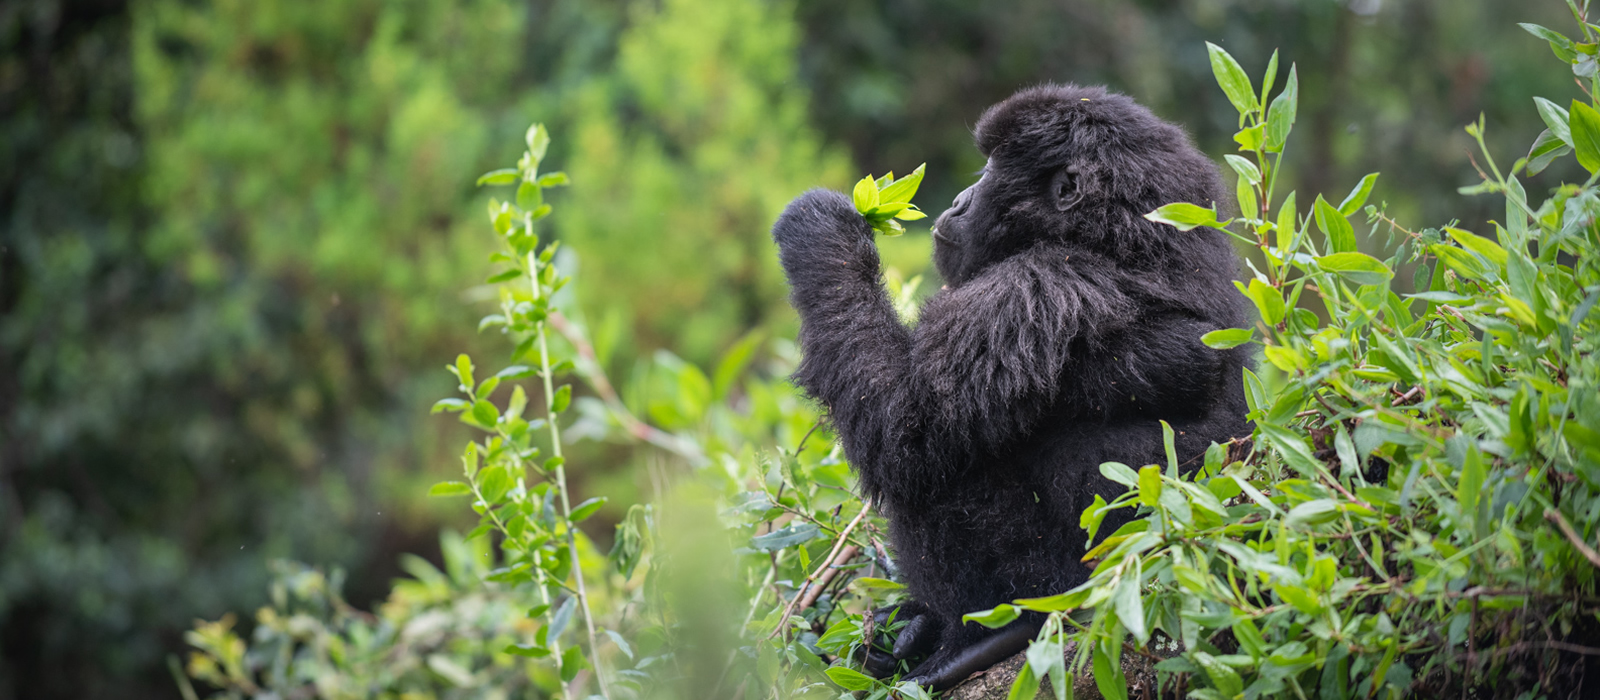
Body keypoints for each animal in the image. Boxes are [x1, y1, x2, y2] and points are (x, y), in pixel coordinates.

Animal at [768, 83, 1254, 690]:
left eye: (994, 167)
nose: (960, 197)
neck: (1112, 229)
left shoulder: (1036, 284)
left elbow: (906, 430)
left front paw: (821, 233)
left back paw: (984, 634)